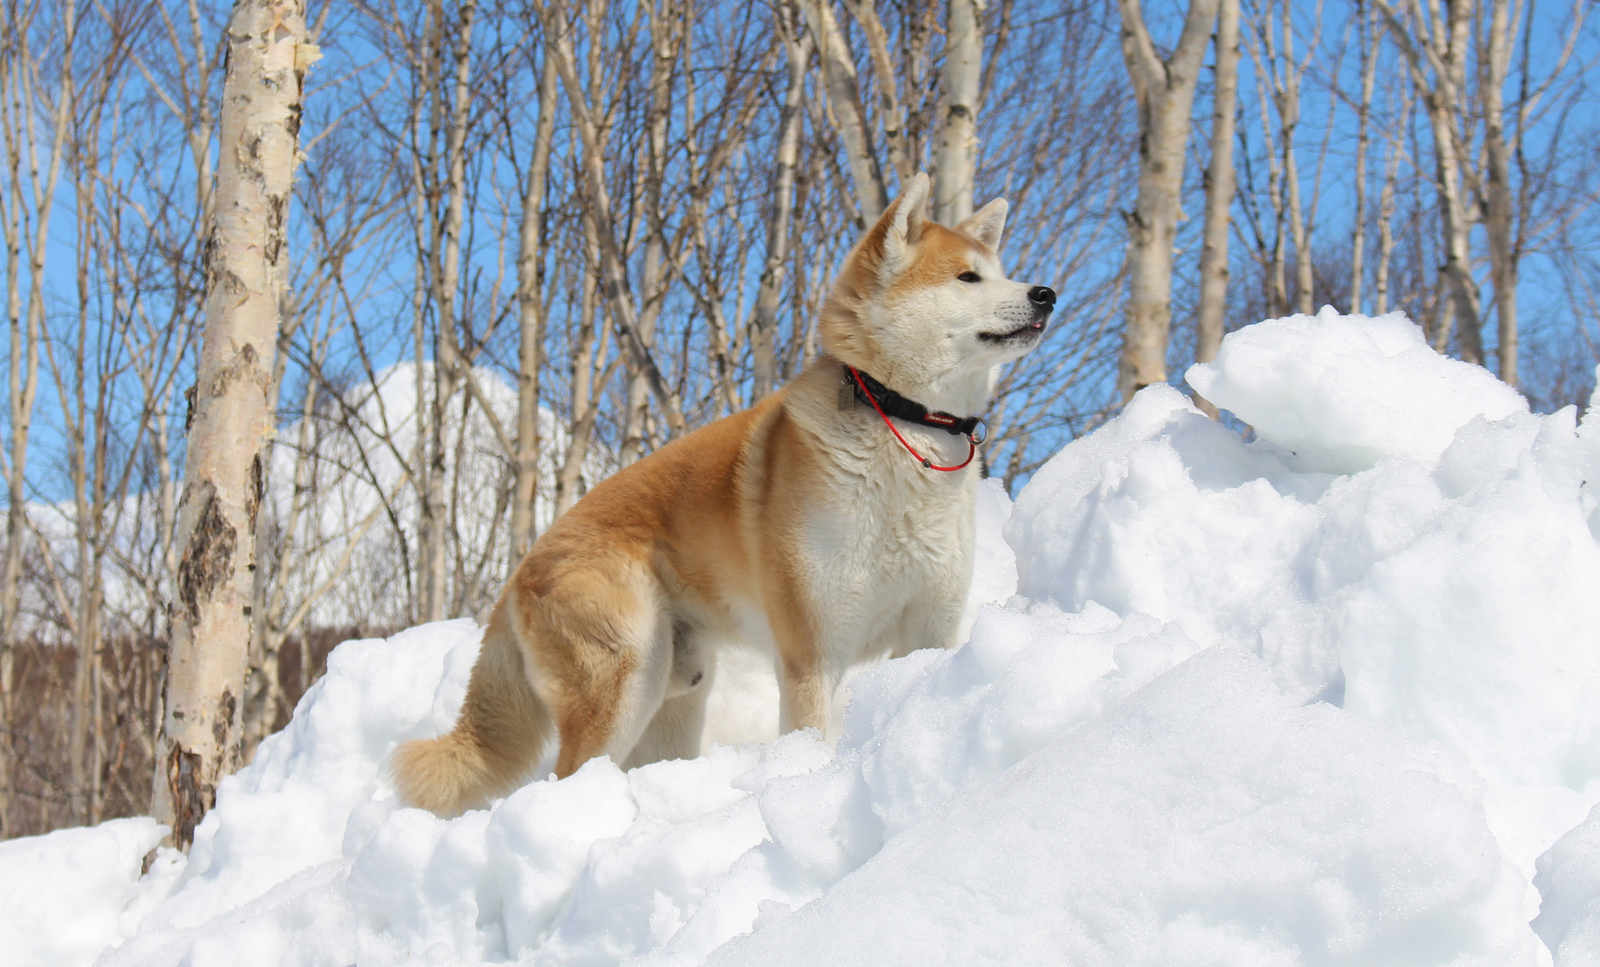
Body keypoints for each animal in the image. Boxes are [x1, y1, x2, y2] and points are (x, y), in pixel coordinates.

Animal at [393, 173, 1056, 816]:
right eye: (967, 277)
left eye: (999, 270)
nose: (1046, 293)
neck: (901, 422)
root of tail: (520, 570)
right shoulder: (813, 654)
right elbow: (813, 735)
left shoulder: (930, 630)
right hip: (625, 682)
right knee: (566, 778)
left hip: (676, 691)